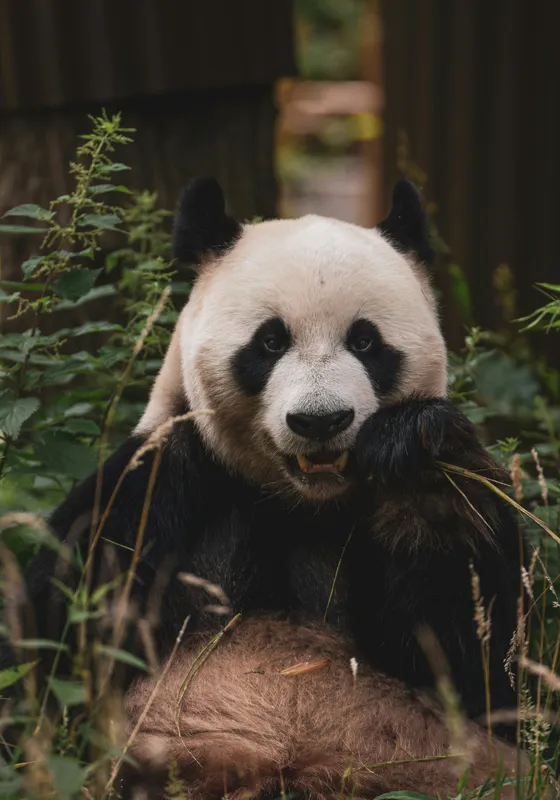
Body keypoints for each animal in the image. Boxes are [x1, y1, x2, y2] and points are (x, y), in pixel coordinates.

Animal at [7, 178, 527, 798]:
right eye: (271, 341)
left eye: (366, 342)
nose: (320, 420)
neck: (300, 502)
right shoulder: (161, 486)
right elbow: (51, 638)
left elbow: (478, 663)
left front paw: (417, 456)